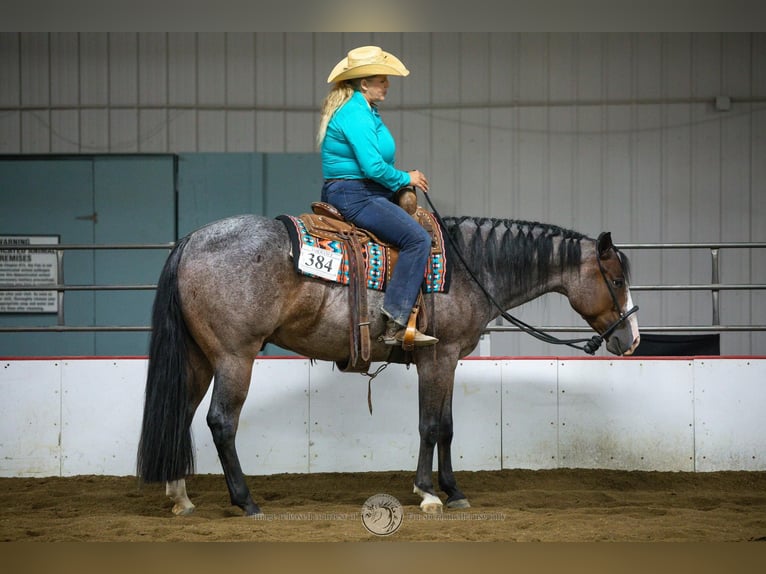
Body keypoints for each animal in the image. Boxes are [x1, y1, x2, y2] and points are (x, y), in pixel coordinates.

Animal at [137, 211, 640, 516]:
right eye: (616, 279)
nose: (631, 339)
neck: (468, 268)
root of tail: (191, 239)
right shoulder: (439, 356)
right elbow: (430, 425)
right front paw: (427, 493)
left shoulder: (446, 360)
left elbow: (447, 426)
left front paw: (453, 491)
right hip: (235, 356)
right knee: (221, 422)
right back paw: (246, 502)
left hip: (200, 358)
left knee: (180, 414)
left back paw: (180, 496)